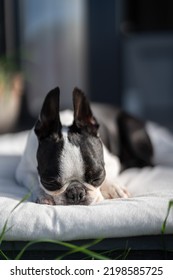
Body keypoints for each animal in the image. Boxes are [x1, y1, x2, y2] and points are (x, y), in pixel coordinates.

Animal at [15, 87, 153, 206]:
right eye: (50, 182)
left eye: (97, 177)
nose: (76, 192)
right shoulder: (23, 171)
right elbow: (34, 181)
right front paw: (43, 195)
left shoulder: (112, 162)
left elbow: (109, 175)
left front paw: (113, 187)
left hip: (130, 129)